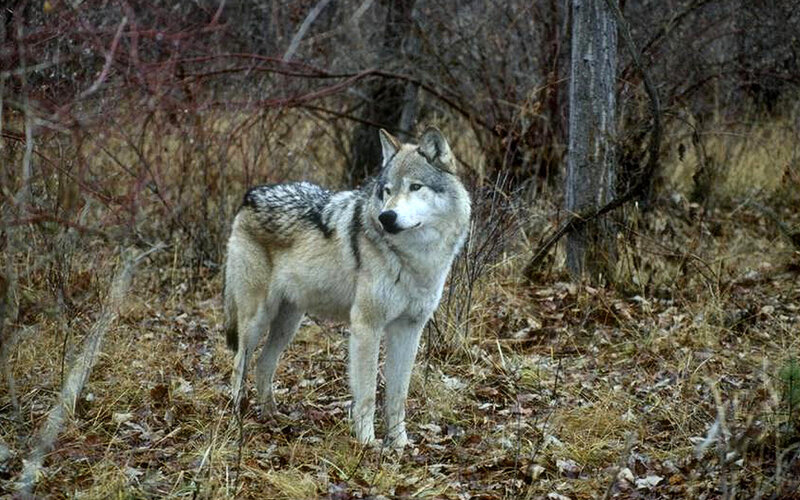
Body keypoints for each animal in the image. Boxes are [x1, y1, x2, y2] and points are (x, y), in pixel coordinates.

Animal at [223, 127, 471, 448]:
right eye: (387, 190)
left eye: (416, 187)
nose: (386, 217)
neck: (415, 258)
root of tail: (250, 195)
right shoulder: (366, 326)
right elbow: (366, 394)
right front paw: (367, 443)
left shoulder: (409, 329)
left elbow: (397, 396)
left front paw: (400, 444)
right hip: (256, 321)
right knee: (238, 365)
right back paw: (236, 418)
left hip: (288, 324)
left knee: (263, 365)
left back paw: (273, 417)